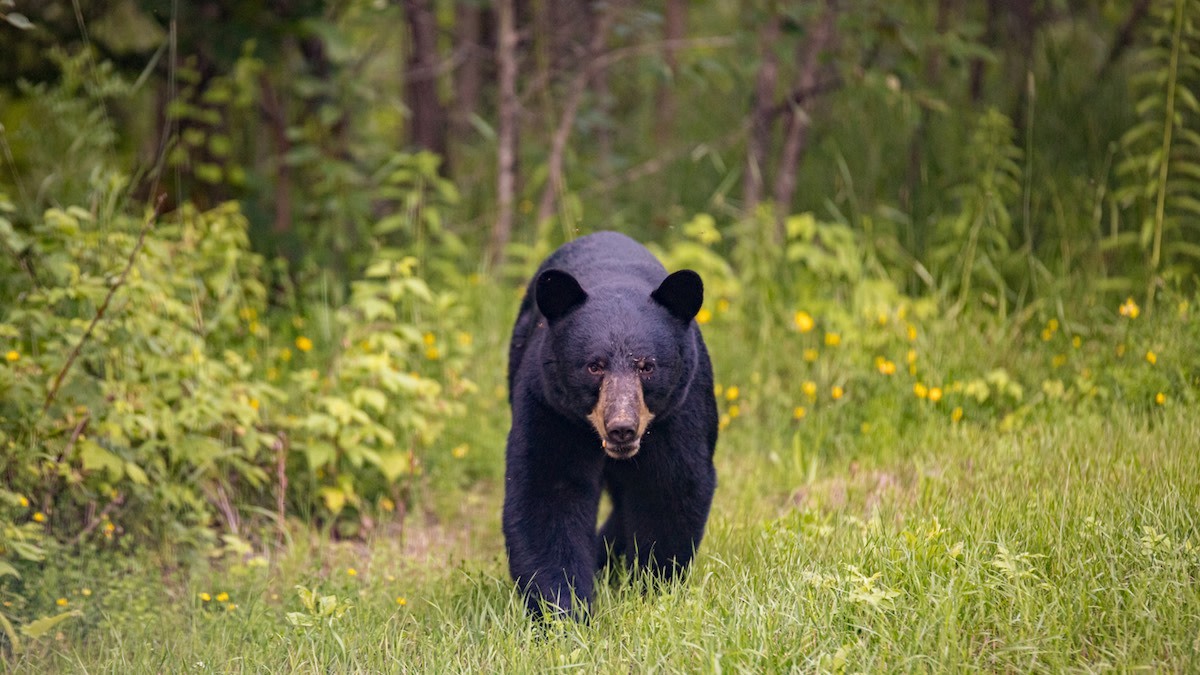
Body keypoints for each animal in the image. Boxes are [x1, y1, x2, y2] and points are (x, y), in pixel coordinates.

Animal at [502, 231, 718, 618]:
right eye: (594, 366)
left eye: (647, 366)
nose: (622, 427)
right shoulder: (551, 406)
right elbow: (548, 491)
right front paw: (562, 611)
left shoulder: (679, 410)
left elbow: (670, 486)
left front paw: (652, 588)